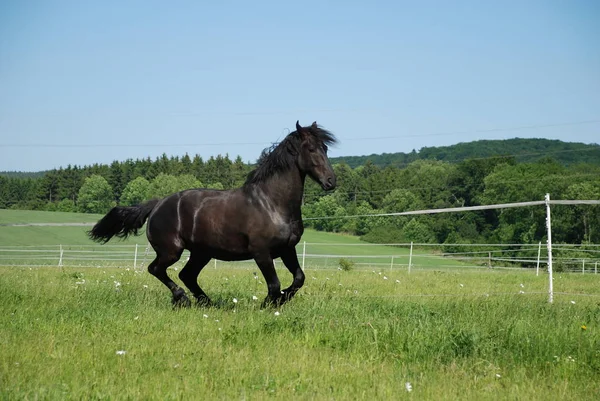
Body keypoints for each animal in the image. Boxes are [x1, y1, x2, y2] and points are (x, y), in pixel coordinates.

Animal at [88, 121, 336, 306]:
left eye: (325, 148)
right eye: (311, 149)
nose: (331, 181)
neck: (271, 203)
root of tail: (158, 204)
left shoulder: (287, 249)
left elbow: (298, 279)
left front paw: (282, 299)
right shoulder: (261, 252)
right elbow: (274, 285)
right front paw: (268, 304)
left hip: (201, 253)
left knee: (186, 275)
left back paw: (205, 301)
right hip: (172, 251)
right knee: (157, 269)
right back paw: (183, 299)